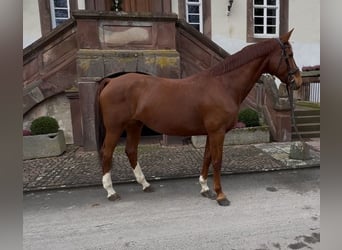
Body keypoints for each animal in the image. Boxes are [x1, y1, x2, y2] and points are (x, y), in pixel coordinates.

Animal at [94, 29, 302, 205]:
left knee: (131, 151)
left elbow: (207, 158)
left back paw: (145, 184)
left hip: (134, 125)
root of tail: (111, 80)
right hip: (115, 127)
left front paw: (205, 188)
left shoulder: (211, 132)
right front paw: (220, 195)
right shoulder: (218, 132)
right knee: (107, 152)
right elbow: (217, 161)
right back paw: (111, 191)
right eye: (289, 55)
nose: (298, 81)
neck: (223, 84)